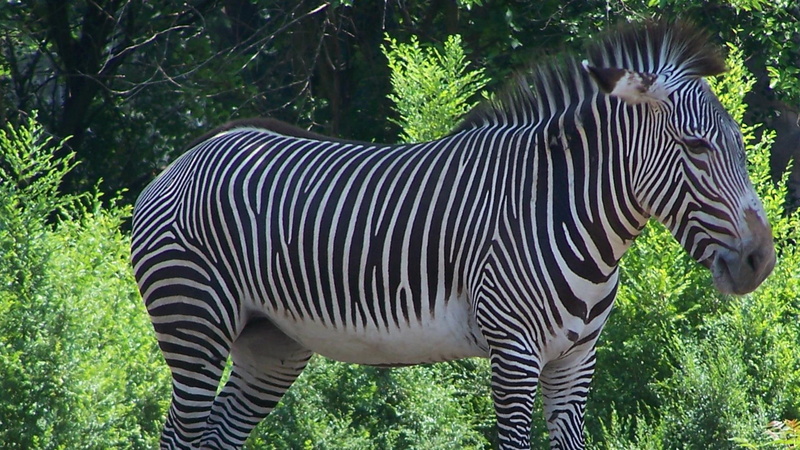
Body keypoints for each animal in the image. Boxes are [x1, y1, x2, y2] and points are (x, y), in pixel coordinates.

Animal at [131, 20, 776, 449]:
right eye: (696, 147)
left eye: (741, 145)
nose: (762, 262)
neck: (559, 210)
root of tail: (185, 157)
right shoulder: (514, 354)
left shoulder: (576, 361)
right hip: (194, 323)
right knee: (181, 434)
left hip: (270, 343)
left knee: (216, 435)